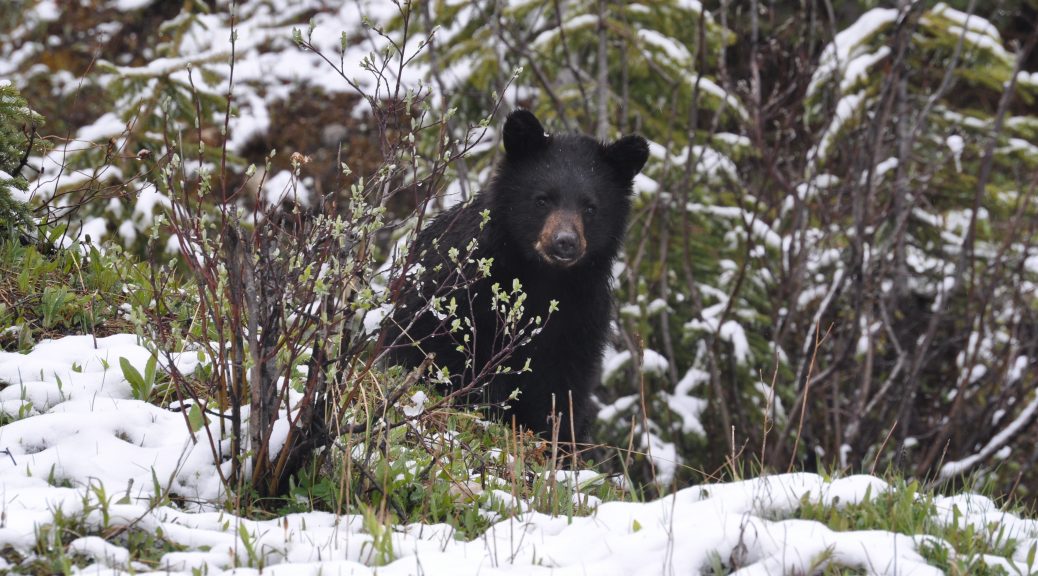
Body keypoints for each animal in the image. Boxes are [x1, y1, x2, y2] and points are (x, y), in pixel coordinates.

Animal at [388, 109, 647, 442]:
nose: (565, 242)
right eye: (542, 199)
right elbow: (443, 348)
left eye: (590, 208)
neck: (542, 277)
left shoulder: (581, 317)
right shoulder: (462, 291)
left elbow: (562, 387)